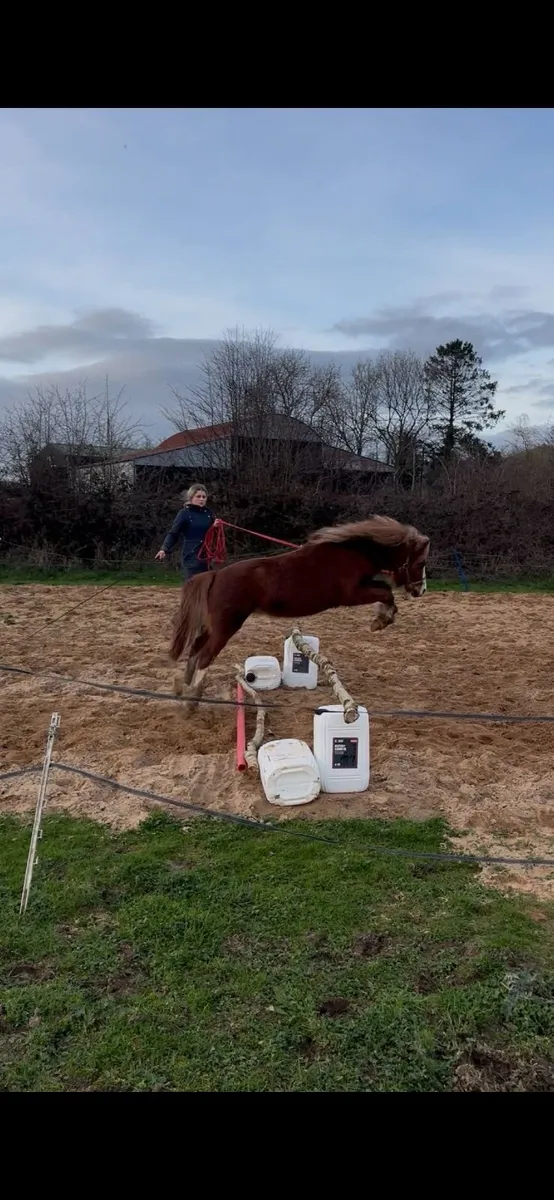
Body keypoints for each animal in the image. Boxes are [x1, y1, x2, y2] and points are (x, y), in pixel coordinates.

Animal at [169, 514, 430, 711]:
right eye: (421, 563)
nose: (421, 590)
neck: (351, 553)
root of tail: (215, 575)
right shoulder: (352, 594)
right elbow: (386, 593)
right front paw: (382, 620)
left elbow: (385, 589)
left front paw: (381, 618)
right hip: (226, 627)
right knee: (204, 656)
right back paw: (192, 702)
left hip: (211, 627)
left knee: (194, 651)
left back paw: (183, 690)